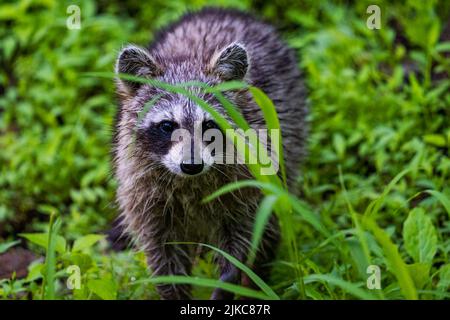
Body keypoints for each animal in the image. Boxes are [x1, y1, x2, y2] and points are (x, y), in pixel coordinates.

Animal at [114, 7, 308, 300]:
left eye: (209, 125)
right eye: (167, 126)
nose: (192, 165)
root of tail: (223, 11)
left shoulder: (247, 180)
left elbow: (243, 235)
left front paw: (229, 280)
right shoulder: (144, 192)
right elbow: (163, 252)